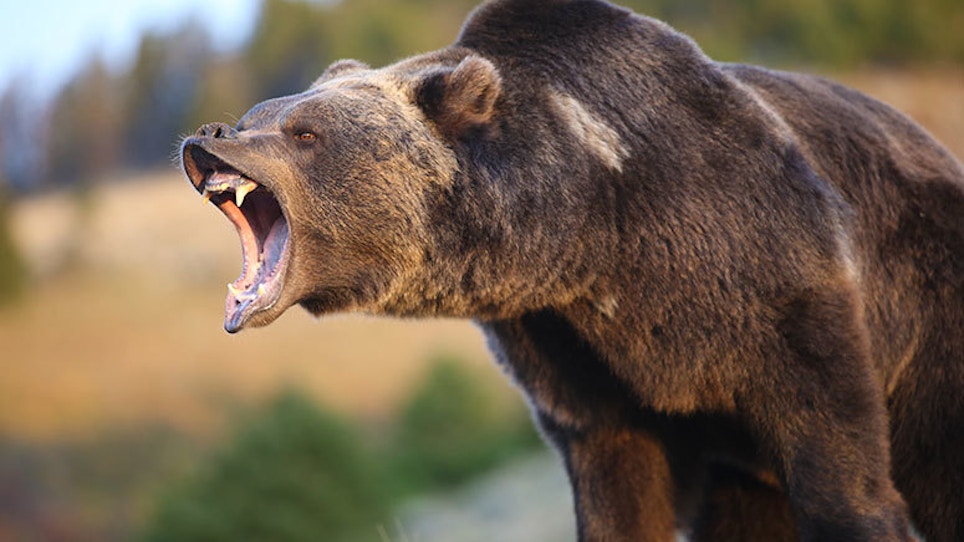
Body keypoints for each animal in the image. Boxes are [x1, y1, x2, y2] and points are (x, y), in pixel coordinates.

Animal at [180, 0, 964, 540]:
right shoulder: (573, 355)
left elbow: (839, 468)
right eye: (255, 115)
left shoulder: (776, 287)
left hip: (933, 306)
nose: (209, 135)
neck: (591, 234)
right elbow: (619, 489)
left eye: (304, 133)